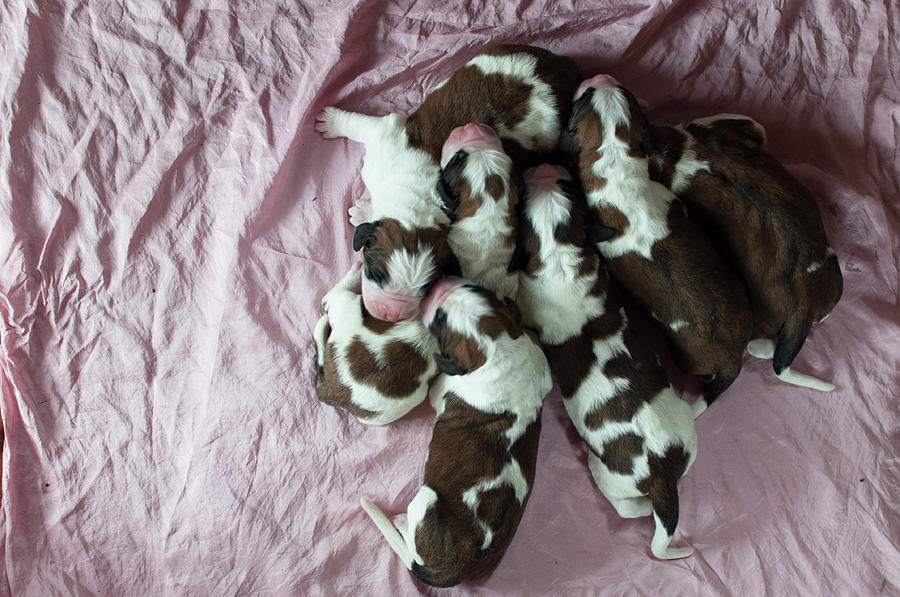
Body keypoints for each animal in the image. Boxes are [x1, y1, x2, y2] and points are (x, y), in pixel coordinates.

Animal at [516, 164, 700, 560]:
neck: (560, 255)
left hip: (604, 473)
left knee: (627, 507)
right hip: (689, 438)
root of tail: (661, 474)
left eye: (521, 201)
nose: (544, 167)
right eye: (569, 187)